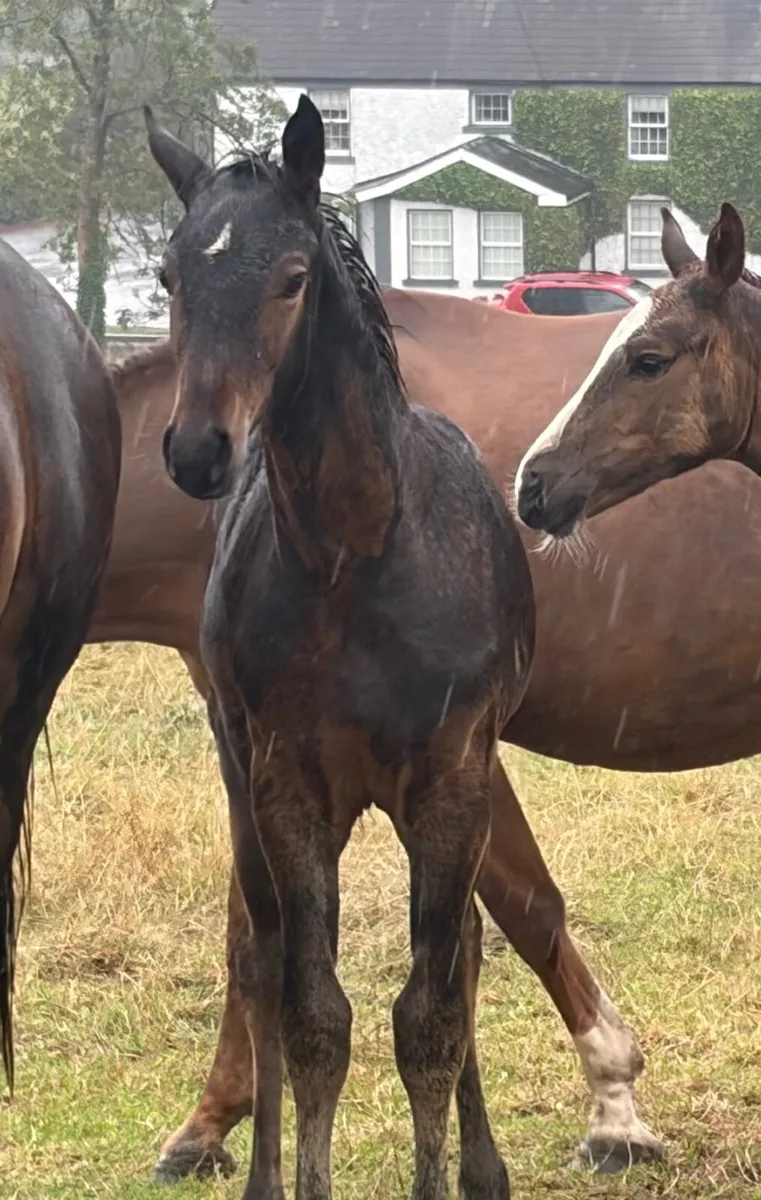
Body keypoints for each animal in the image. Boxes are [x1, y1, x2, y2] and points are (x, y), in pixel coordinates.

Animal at [147, 92, 540, 1200]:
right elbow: (315, 1013)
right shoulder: (287, 784)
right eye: (170, 277)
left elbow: (432, 1012)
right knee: (266, 957)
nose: (198, 451)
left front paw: (449, 1174)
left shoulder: (451, 781)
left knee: (458, 957)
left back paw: (482, 1167)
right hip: (245, 780)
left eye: (289, 278)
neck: (357, 562)